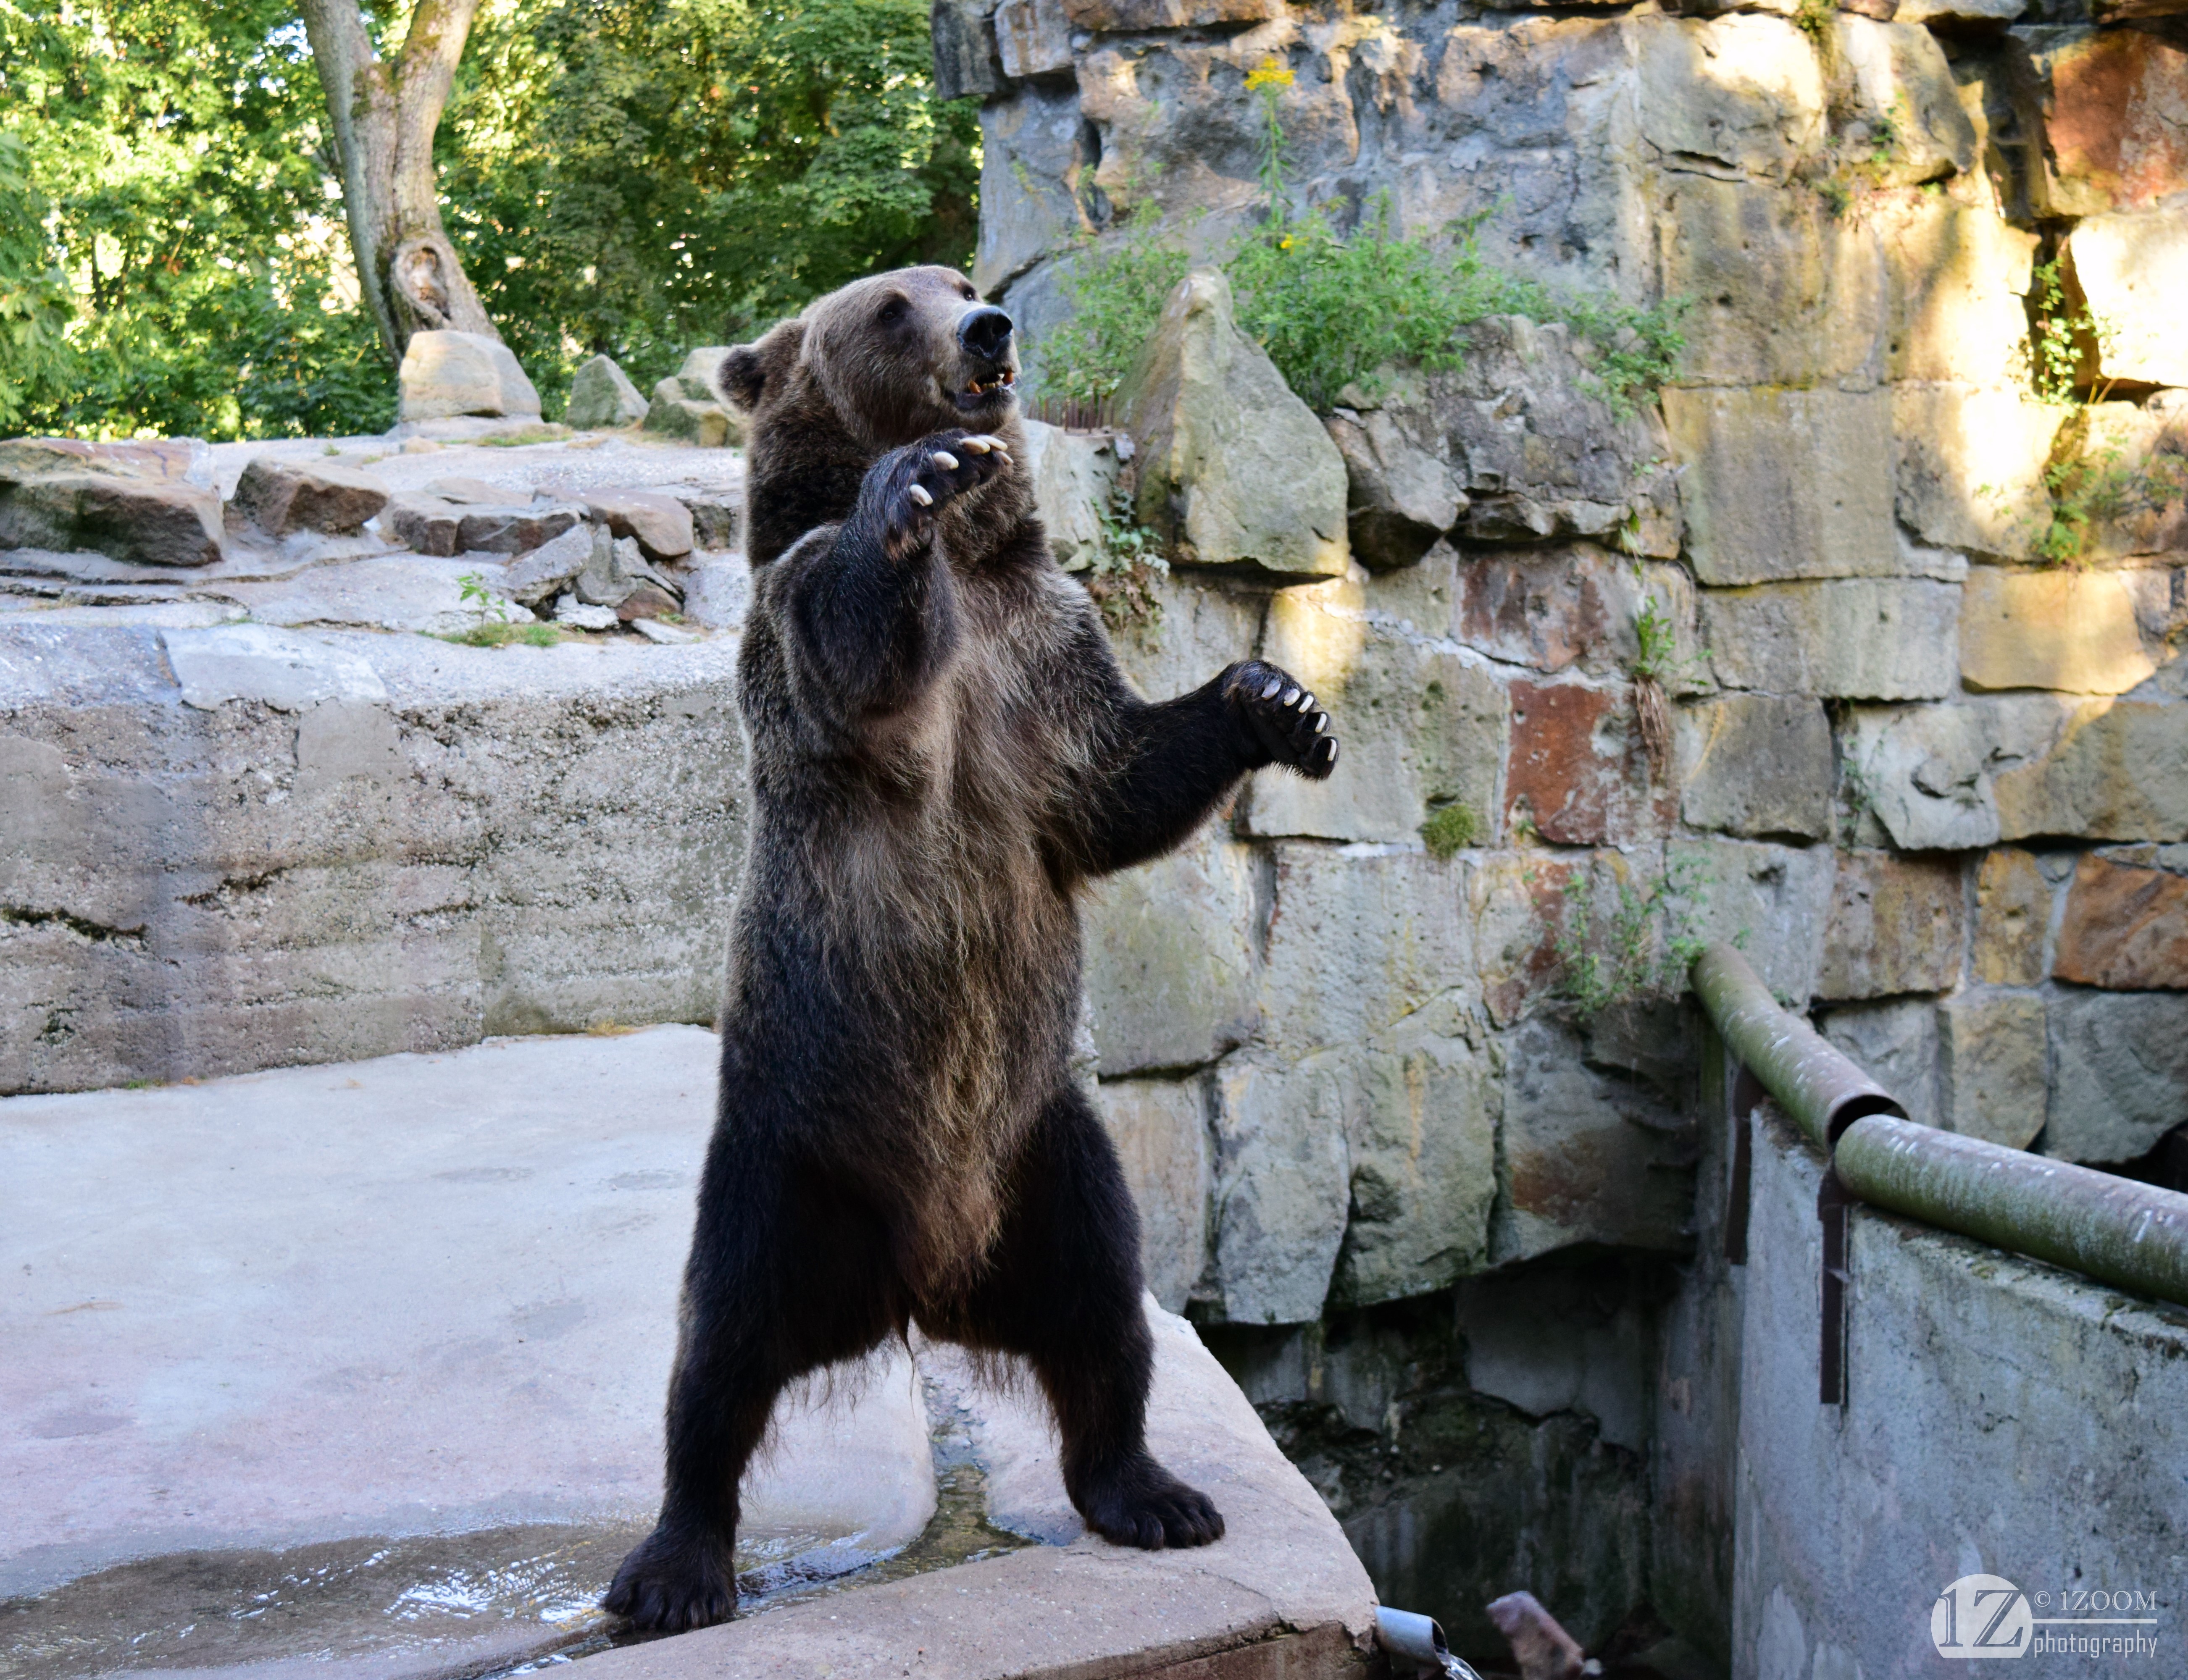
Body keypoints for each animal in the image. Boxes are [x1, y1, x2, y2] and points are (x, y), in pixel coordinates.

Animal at [604, 264, 1340, 1632]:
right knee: (719, 1352)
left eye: (960, 282)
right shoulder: (818, 633)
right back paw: (676, 1564)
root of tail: (917, 1281)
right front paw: (912, 483)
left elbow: (1114, 785)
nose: (990, 325)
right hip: (793, 1144)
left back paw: (1151, 1491)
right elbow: (852, 645)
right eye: (891, 307)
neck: (973, 567)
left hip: (1043, 1140)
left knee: (1103, 1305)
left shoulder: (1043, 646)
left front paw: (1282, 702)